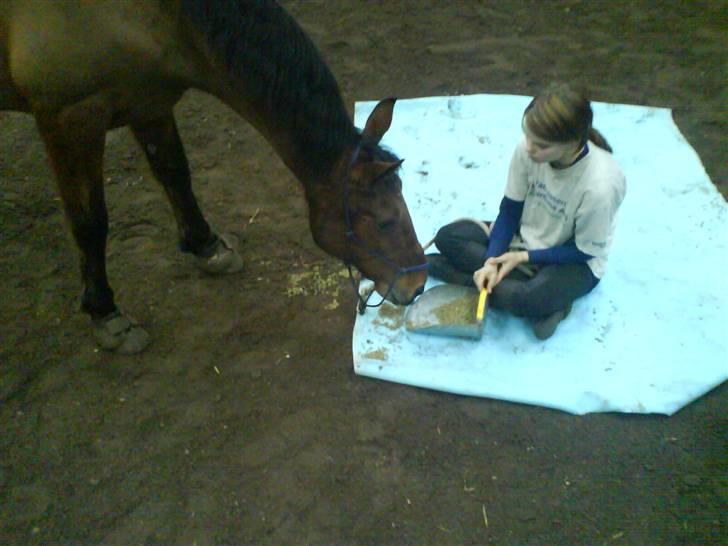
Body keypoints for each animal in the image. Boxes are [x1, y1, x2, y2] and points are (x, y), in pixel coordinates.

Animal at [0, 0, 430, 352]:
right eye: (384, 220)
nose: (418, 285)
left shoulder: (148, 100)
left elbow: (175, 173)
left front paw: (206, 245)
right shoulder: (70, 120)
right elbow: (90, 222)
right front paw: (105, 312)